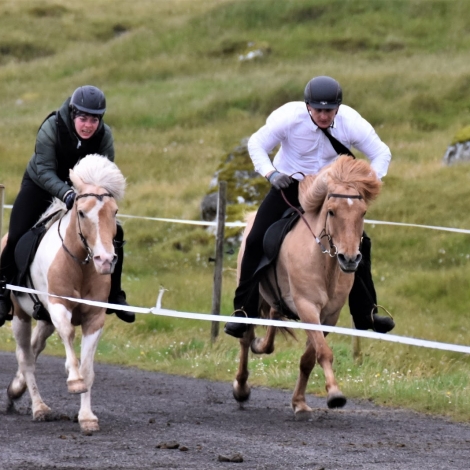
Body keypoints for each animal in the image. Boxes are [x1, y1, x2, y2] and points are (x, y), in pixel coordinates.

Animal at [2, 154, 126, 434]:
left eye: (114, 212)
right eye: (81, 212)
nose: (105, 260)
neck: (80, 263)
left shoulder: (94, 317)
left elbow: (89, 369)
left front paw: (87, 417)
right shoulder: (59, 307)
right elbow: (68, 335)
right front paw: (74, 380)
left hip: (44, 319)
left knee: (34, 349)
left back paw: (16, 389)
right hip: (21, 316)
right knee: (26, 357)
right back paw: (39, 408)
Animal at [231, 156, 382, 420]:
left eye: (363, 212)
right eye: (331, 211)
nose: (350, 259)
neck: (324, 264)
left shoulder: (329, 315)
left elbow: (309, 358)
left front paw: (300, 403)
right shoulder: (307, 306)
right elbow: (323, 352)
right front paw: (335, 394)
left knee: (272, 319)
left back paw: (261, 345)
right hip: (252, 292)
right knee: (245, 335)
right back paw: (241, 387)